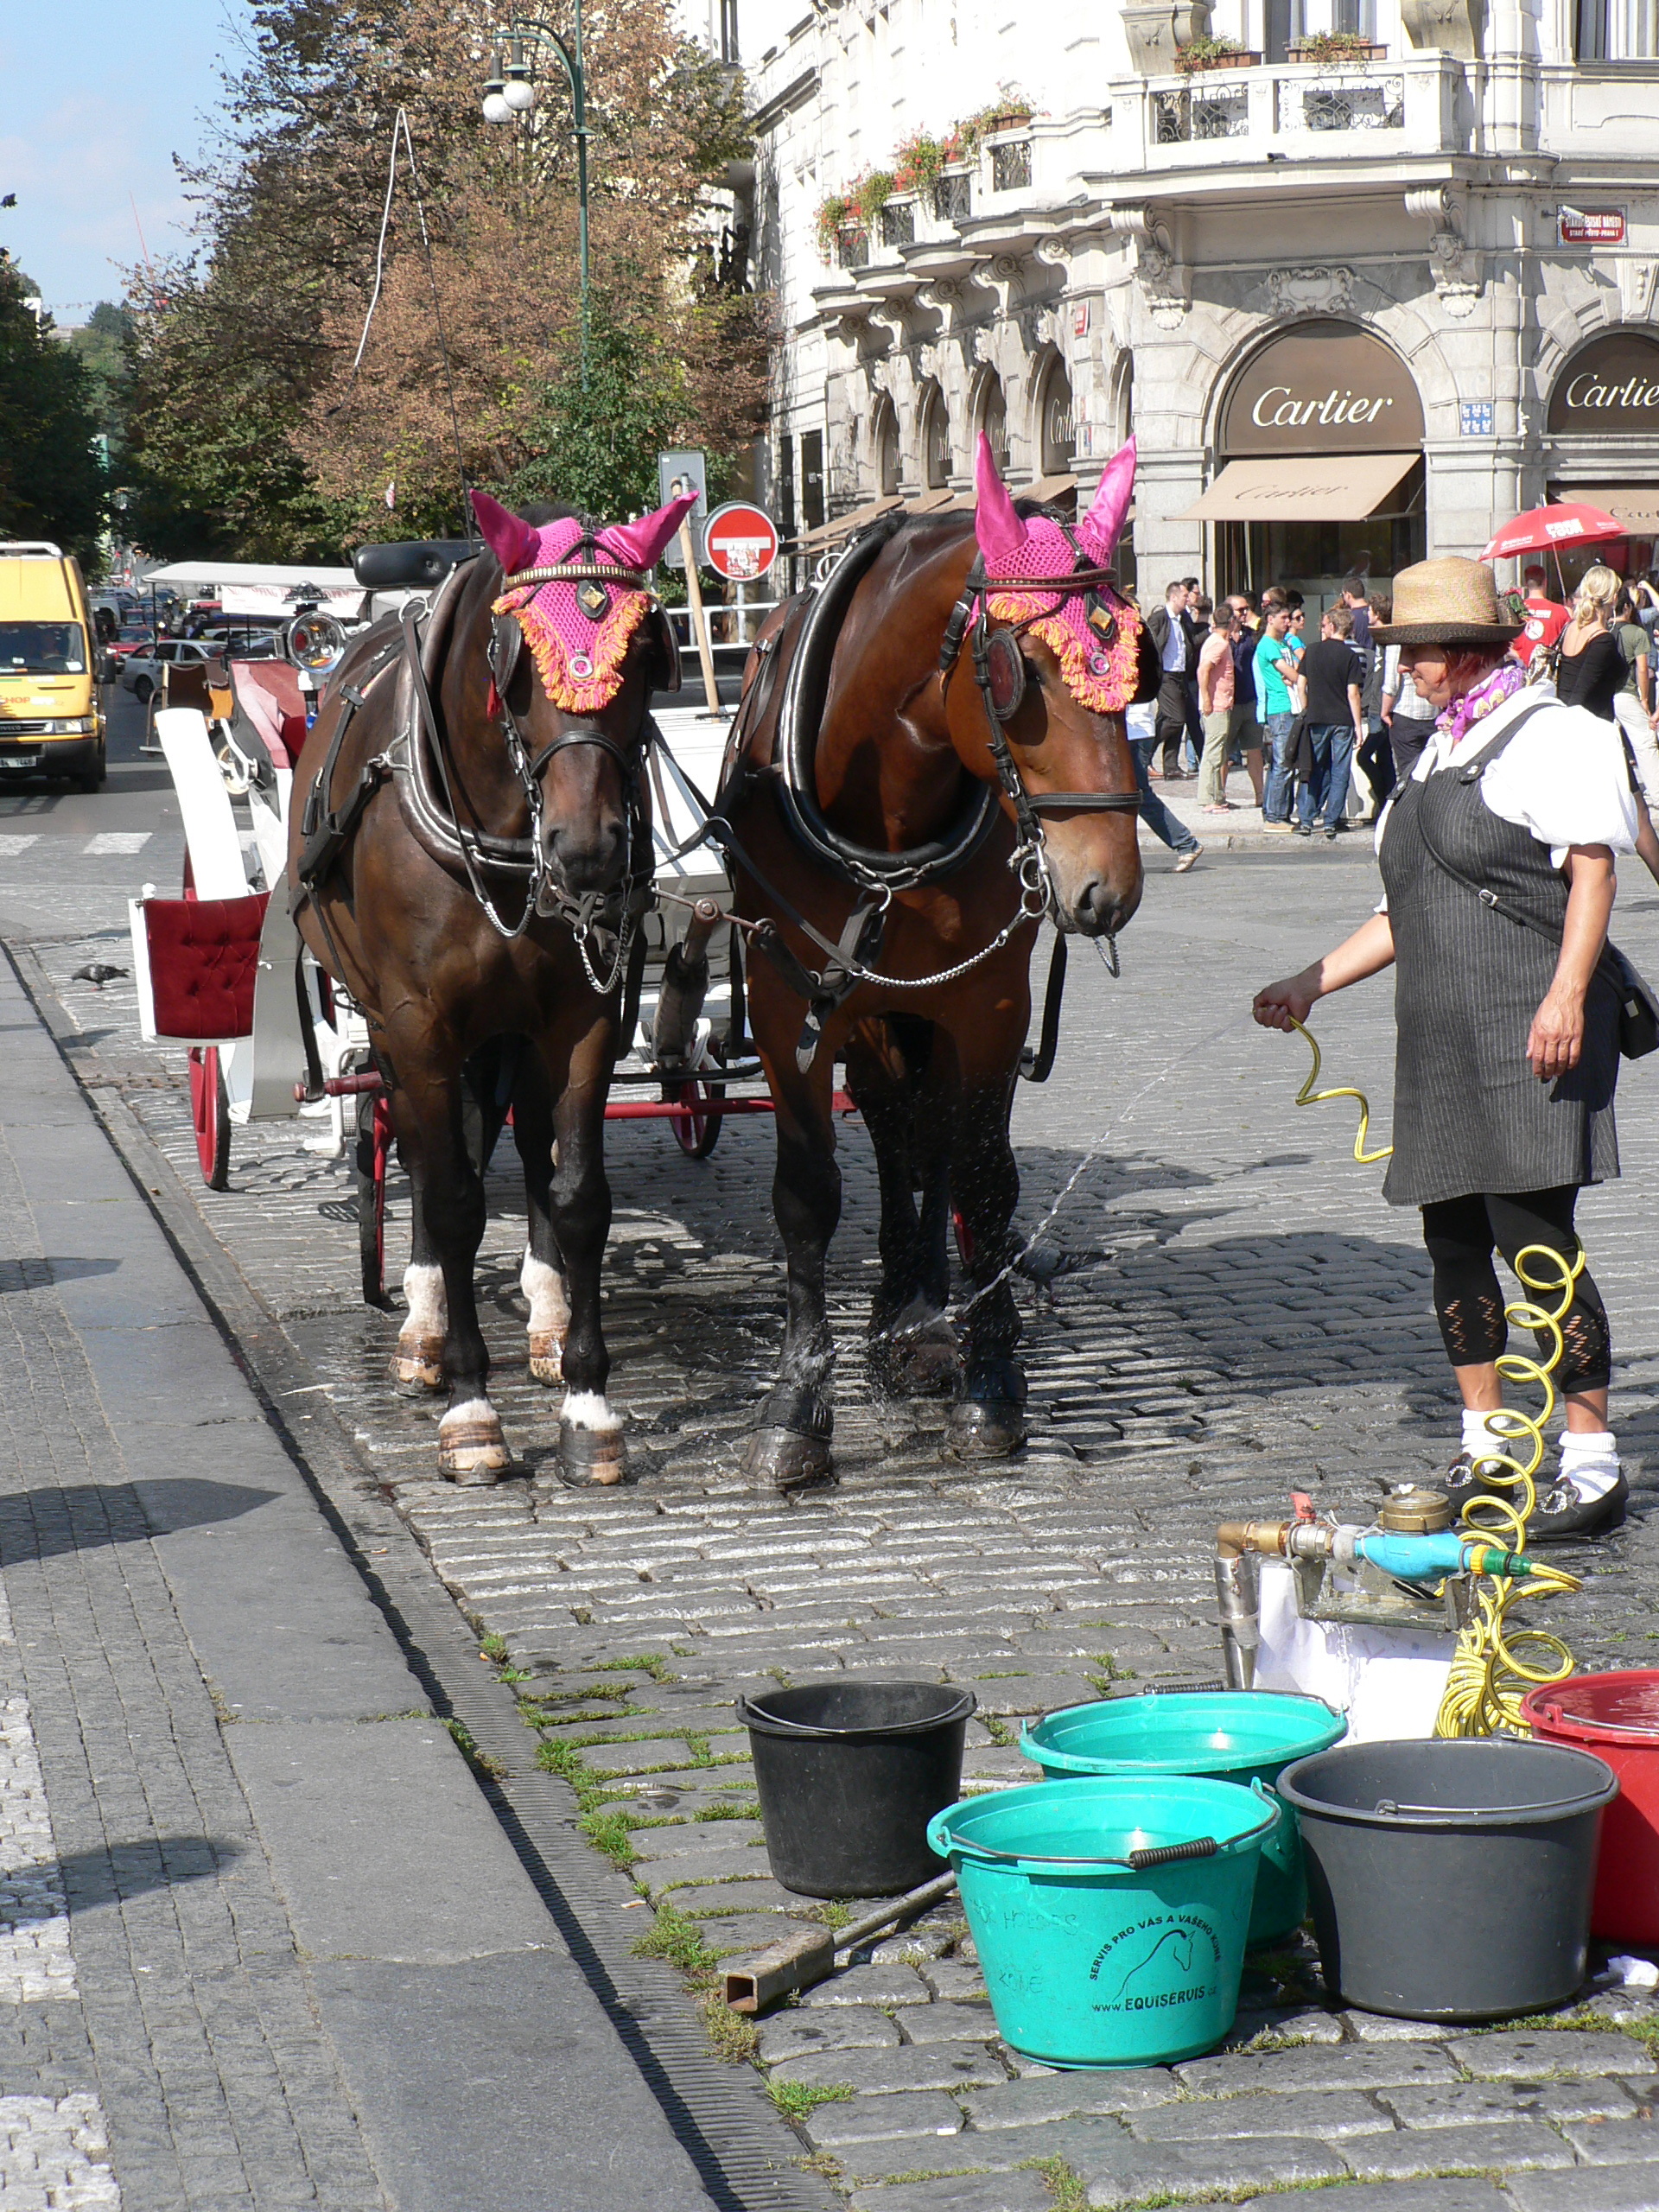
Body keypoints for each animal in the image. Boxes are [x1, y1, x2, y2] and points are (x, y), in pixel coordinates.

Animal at [291, 486, 694, 1486]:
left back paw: (545, 1318)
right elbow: (451, 1198)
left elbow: (579, 1193)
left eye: (648, 654)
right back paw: (426, 1331)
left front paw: (588, 1401)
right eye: (512, 662)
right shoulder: (417, 1024)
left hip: (512, 1031)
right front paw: (472, 1408)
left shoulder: (583, 1020)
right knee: (431, 1153)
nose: (586, 853)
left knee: (520, 1140)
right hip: (394, 1031)